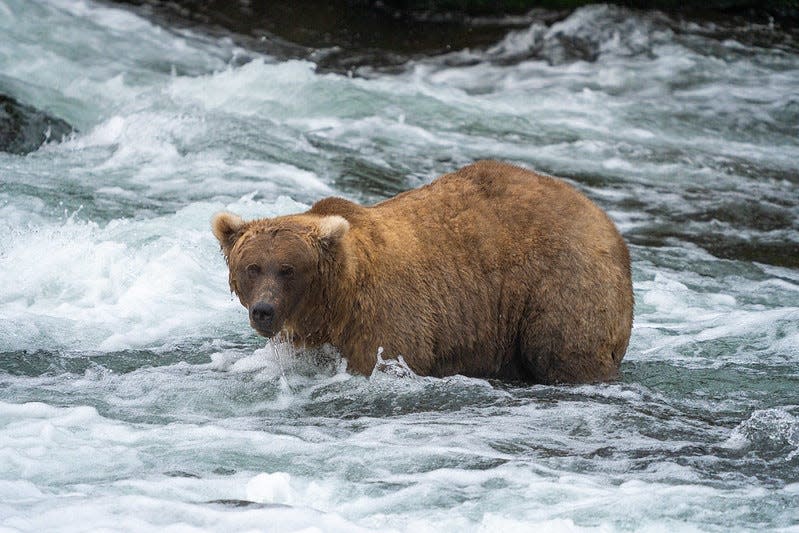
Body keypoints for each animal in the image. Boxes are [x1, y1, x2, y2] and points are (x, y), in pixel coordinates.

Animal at [211, 159, 632, 382]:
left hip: (560, 285)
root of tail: (605, 220)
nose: (263, 311)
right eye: (252, 267)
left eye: (288, 269)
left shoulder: (385, 319)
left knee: (563, 350)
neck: (334, 304)